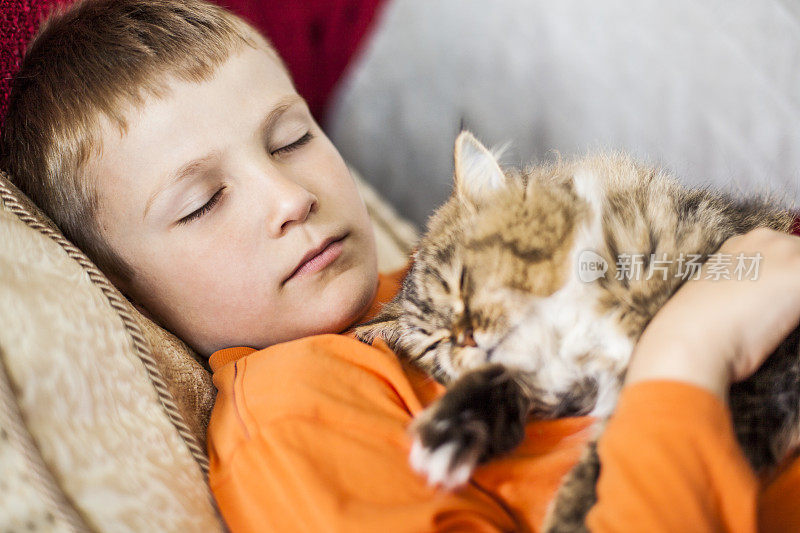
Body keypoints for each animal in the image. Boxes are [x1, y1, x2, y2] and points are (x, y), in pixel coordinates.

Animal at [356, 131, 800, 528]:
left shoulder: (764, 375)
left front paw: (573, 518)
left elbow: (606, 461)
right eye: (434, 345)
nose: (465, 339)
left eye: (464, 280)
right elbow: (498, 386)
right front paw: (447, 433)